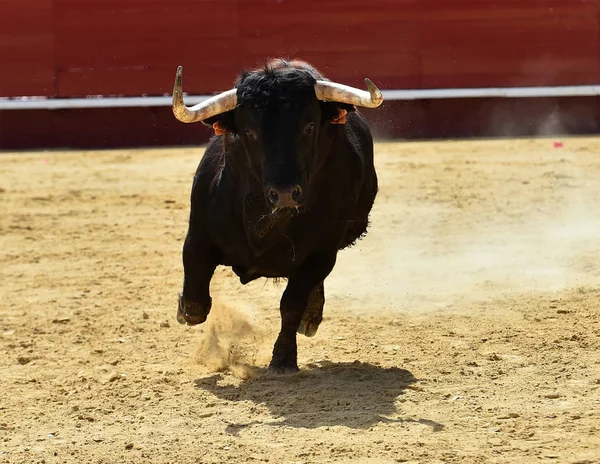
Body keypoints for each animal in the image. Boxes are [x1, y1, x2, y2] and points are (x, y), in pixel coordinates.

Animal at [173, 60, 382, 374]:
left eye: (309, 126)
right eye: (249, 131)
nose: (285, 194)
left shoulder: (321, 253)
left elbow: (291, 304)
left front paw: (283, 359)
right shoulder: (197, 237)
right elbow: (196, 304)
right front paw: (182, 310)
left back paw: (311, 317)